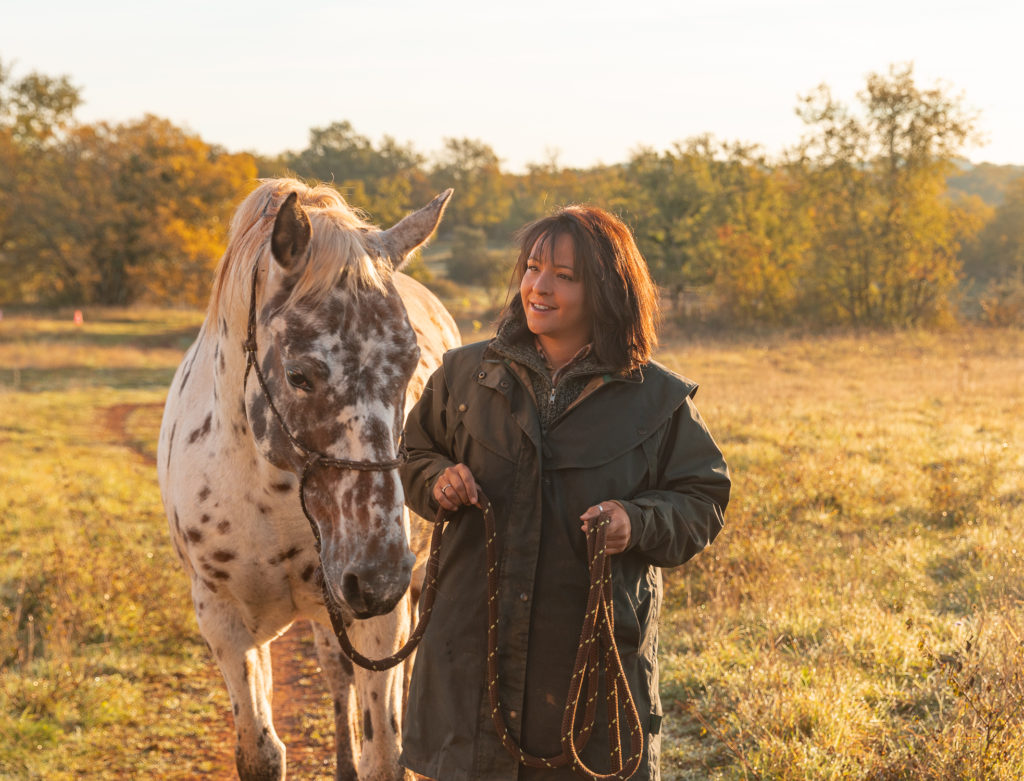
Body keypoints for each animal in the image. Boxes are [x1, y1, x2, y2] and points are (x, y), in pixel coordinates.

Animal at [156, 180, 460, 777]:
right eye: (298, 375)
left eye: (412, 367)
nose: (377, 576)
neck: (272, 495)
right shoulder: (224, 622)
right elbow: (261, 751)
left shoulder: (380, 622)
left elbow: (385, 753)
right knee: (336, 679)